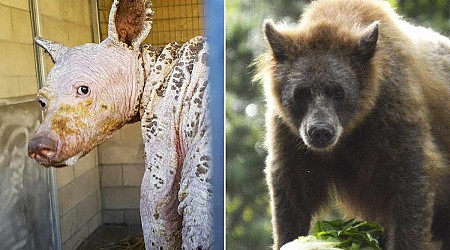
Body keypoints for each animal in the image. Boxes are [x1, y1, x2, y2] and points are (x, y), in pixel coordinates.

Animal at [256, 0, 450, 249]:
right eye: (302, 92)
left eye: (338, 91)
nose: (320, 131)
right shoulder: (289, 134)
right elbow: (291, 191)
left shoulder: (393, 115)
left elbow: (411, 183)